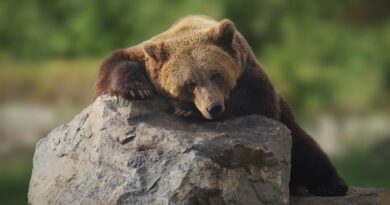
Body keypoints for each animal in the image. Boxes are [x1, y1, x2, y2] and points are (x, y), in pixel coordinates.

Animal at [93, 15, 348, 196]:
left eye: (216, 75)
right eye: (189, 83)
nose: (213, 107)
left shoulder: (249, 71)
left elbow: (257, 98)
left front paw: (187, 110)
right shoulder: (146, 57)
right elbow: (115, 62)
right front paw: (138, 87)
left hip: (287, 119)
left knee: (304, 147)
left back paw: (331, 184)